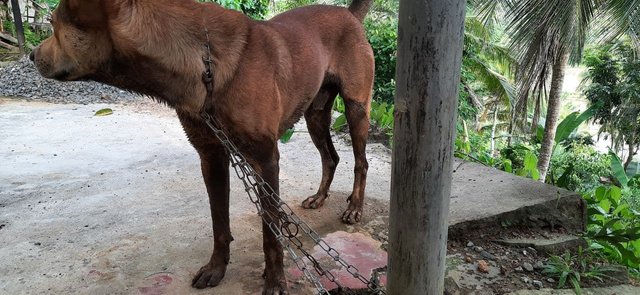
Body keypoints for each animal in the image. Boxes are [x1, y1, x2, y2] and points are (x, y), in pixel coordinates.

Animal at [32, 0, 376, 294]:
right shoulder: (212, 156)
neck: (205, 65)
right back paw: (320, 196)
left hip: (356, 109)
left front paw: (275, 281)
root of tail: (348, 14)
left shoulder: (266, 160)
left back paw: (355, 207)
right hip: (315, 114)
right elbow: (218, 222)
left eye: (52, 24)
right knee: (330, 157)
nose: (32, 55)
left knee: (361, 161)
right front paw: (216, 269)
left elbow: (271, 232)